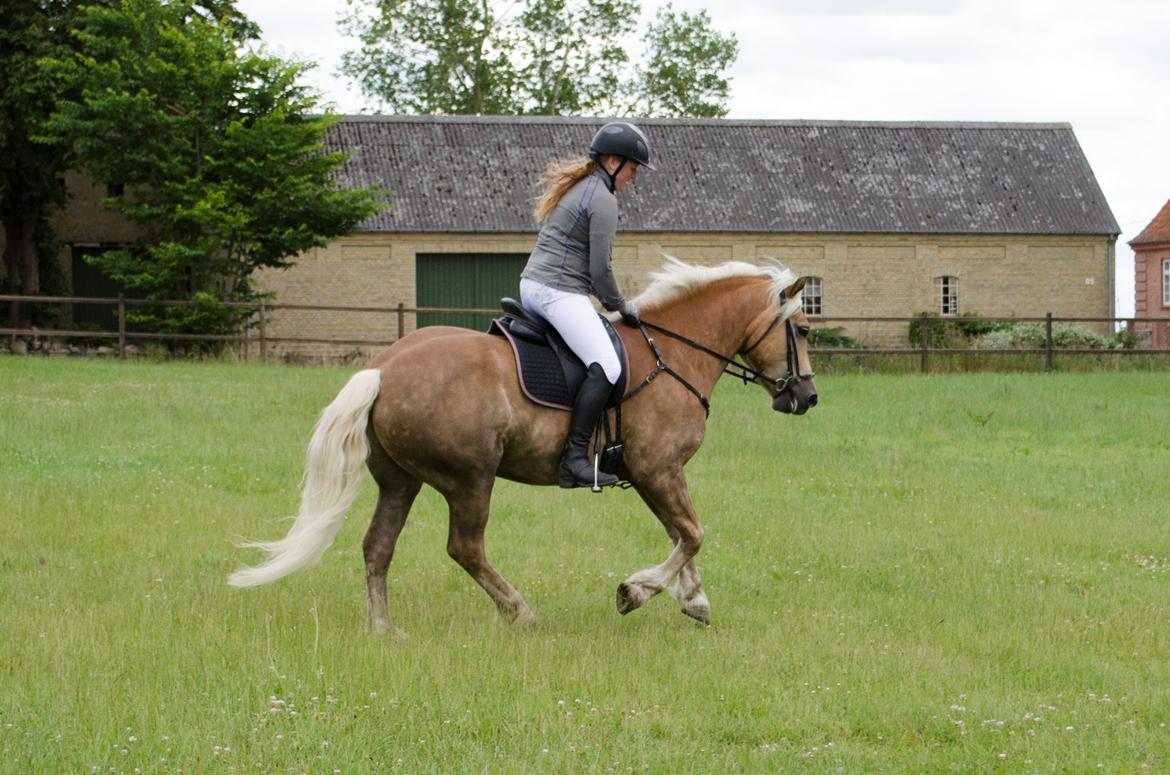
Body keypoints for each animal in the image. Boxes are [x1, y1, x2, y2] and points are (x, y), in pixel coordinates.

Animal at [225, 257, 814, 636]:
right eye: (804, 330)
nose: (807, 397)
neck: (671, 353)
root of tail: (383, 369)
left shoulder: (655, 474)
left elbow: (682, 534)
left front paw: (693, 600)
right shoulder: (658, 468)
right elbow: (691, 533)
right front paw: (636, 591)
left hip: (400, 480)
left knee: (378, 547)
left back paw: (383, 629)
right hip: (470, 479)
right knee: (465, 548)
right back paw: (520, 613)